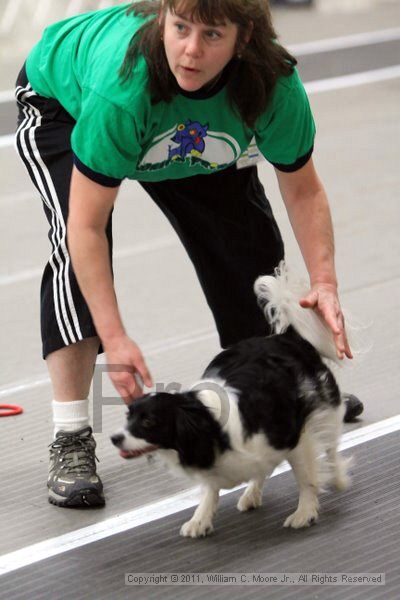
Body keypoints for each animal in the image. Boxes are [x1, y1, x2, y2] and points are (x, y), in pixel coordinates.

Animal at [111, 264, 352, 536]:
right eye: (128, 416)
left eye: (149, 422)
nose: (114, 438)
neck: (207, 422)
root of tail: (287, 338)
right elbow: (210, 489)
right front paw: (200, 519)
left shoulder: (296, 438)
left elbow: (306, 477)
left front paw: (305, 512)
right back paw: (251, 494)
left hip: (326, 409)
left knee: (331, 445)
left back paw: (338, 477)